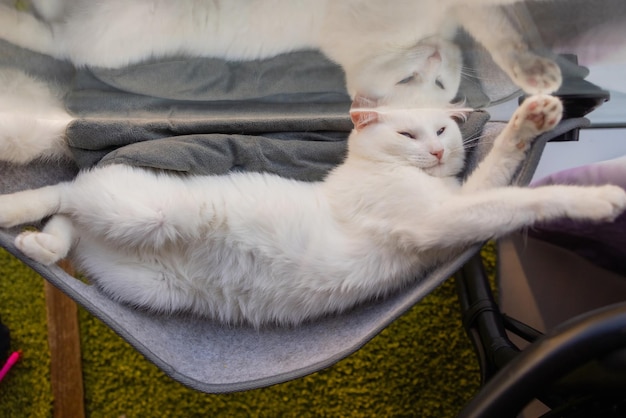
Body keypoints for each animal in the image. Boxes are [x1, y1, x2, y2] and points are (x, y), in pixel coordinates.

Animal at [2, 94, 620, 326]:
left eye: (442, 129)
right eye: (407, 133)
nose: (439, 151)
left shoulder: (453, 207)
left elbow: (495, 176)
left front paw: (532, 119)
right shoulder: (435, 219)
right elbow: (516, 199)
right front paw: (595, 198)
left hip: (138, 273)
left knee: (71, 222)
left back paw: (40, 245)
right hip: (142, 211)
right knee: (67, 191)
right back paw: (15, 214)